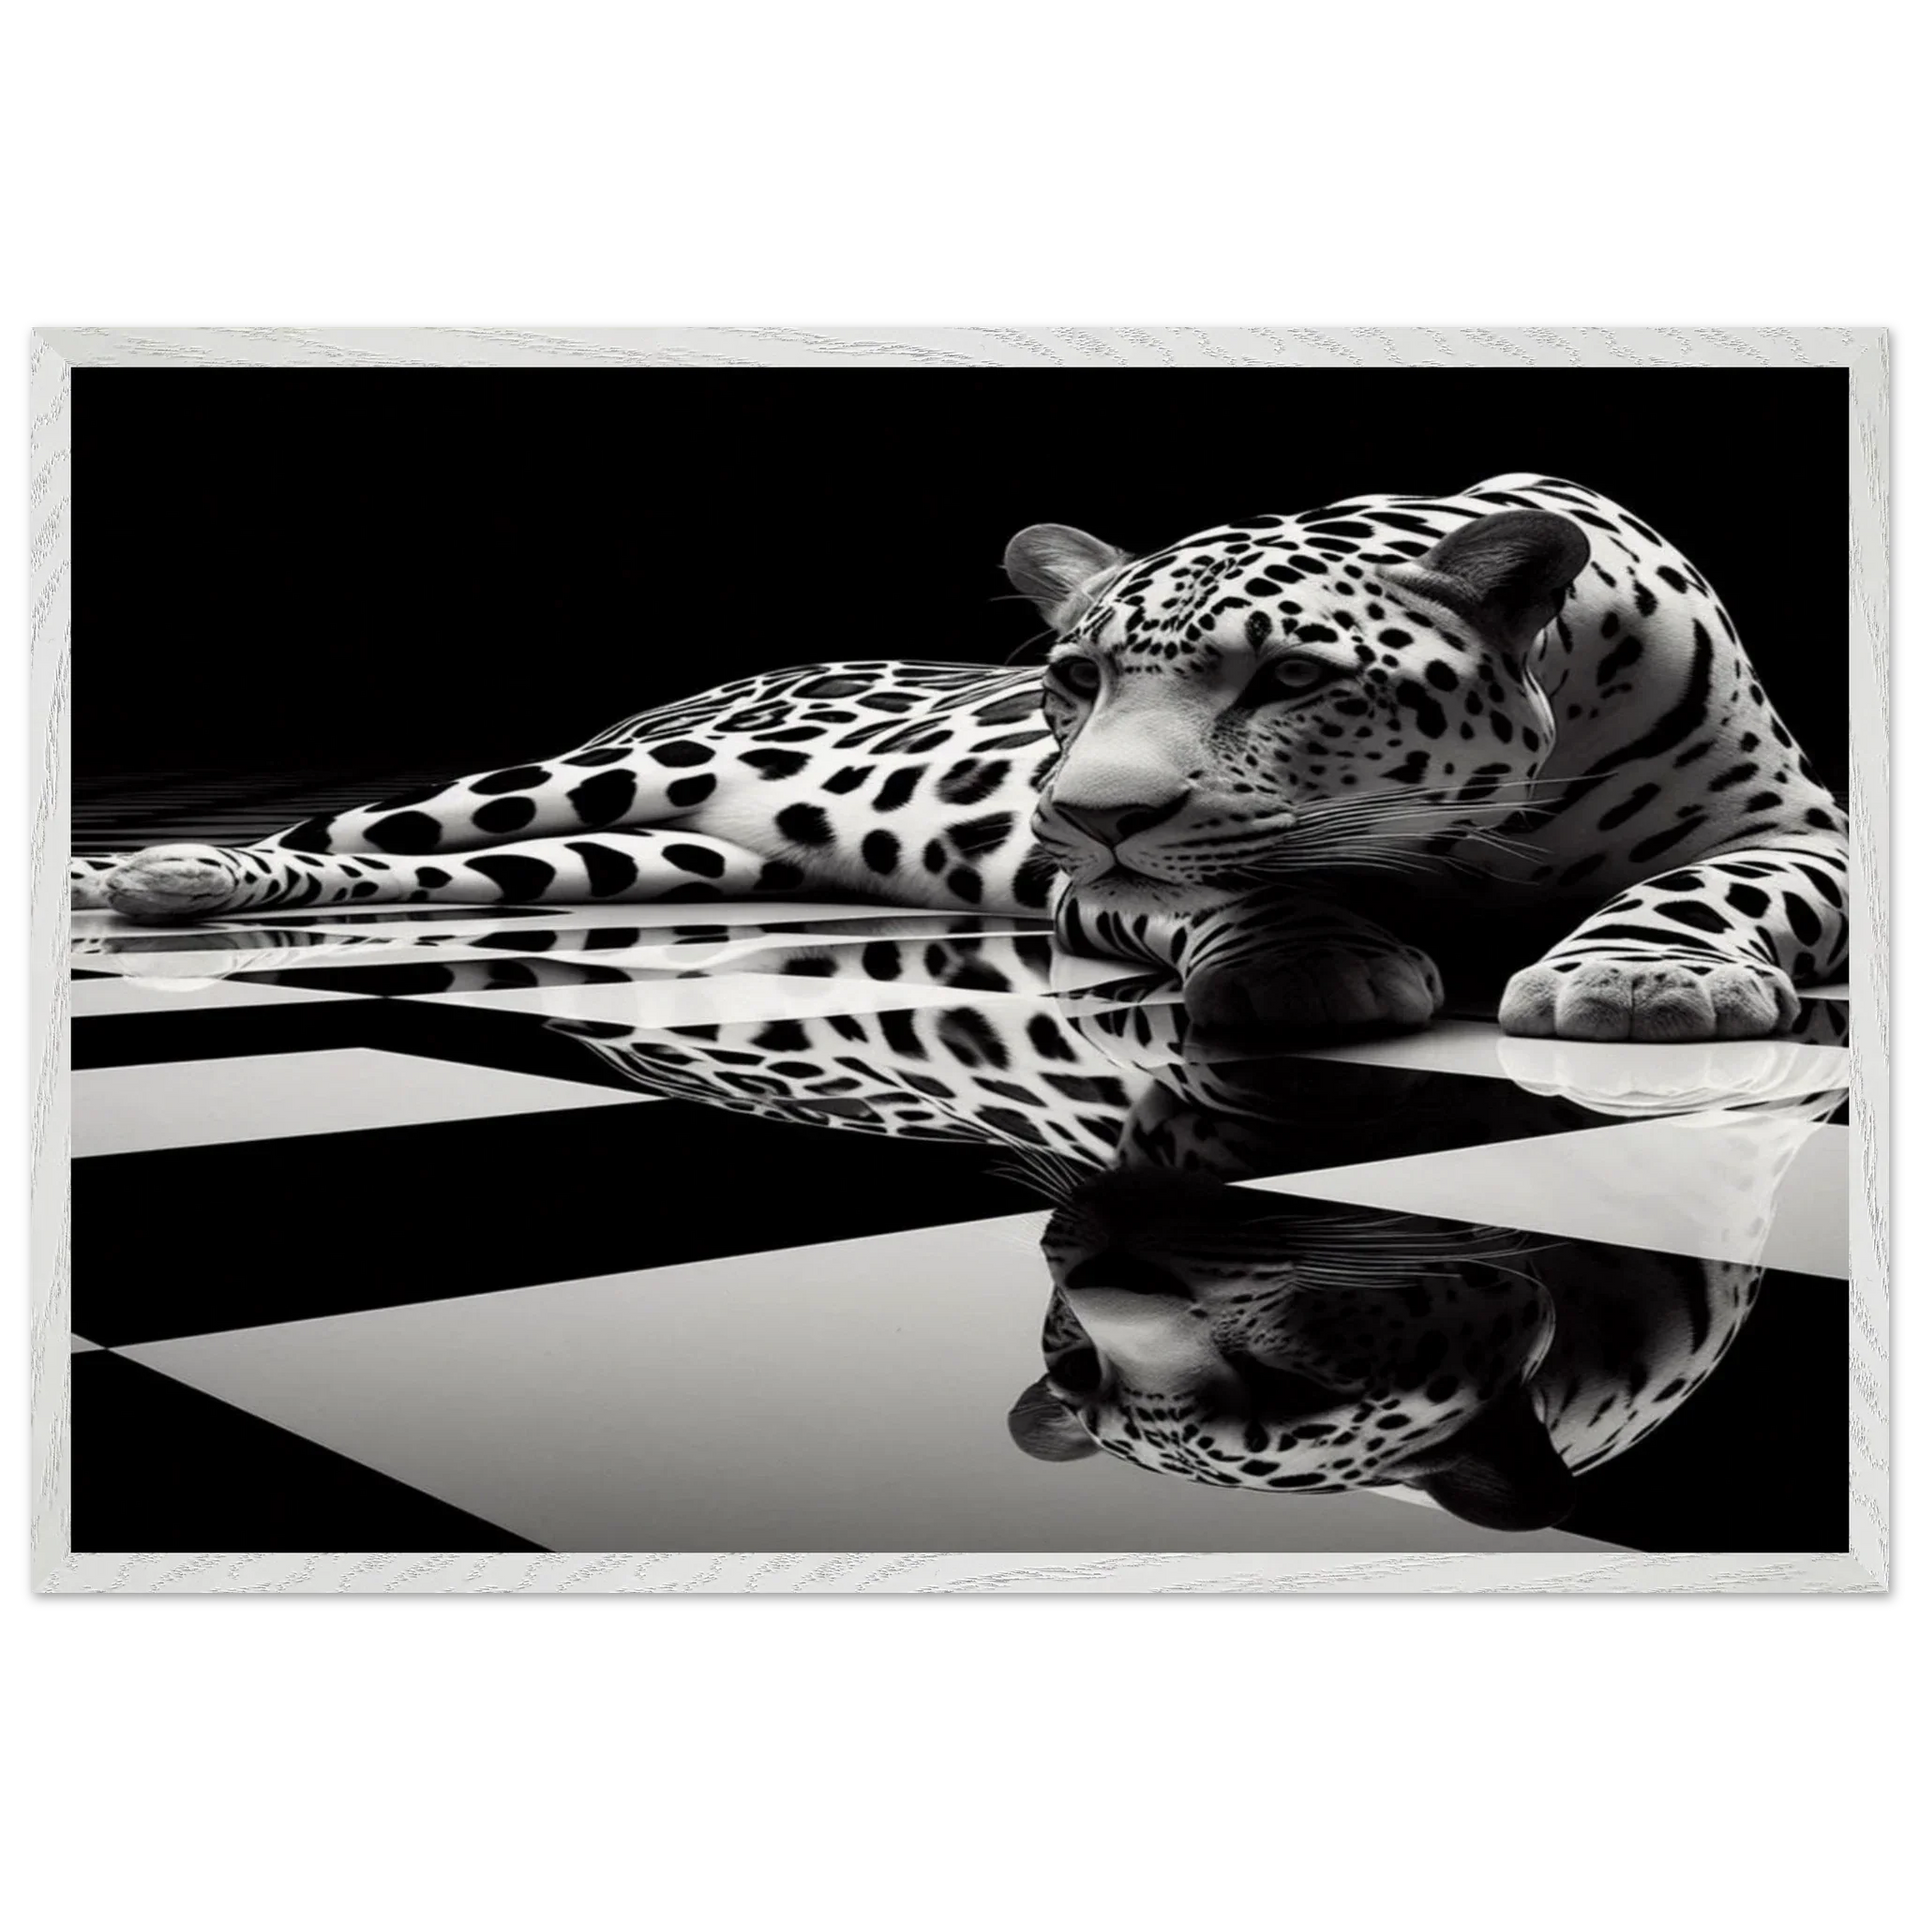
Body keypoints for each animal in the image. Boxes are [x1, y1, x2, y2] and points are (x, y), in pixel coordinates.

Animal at [73, 474, 1849, 1042]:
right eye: (1071, 679)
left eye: (1289, 677)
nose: (1085, 809)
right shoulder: (1091, 894)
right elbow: (1234, 890)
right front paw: (1311, 961)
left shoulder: (1806, 833)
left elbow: (1706, 887)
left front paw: (1639, 979)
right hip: (573, 785)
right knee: (354, 825)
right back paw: (159, 875)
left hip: (646, 855)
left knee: (447, 872)